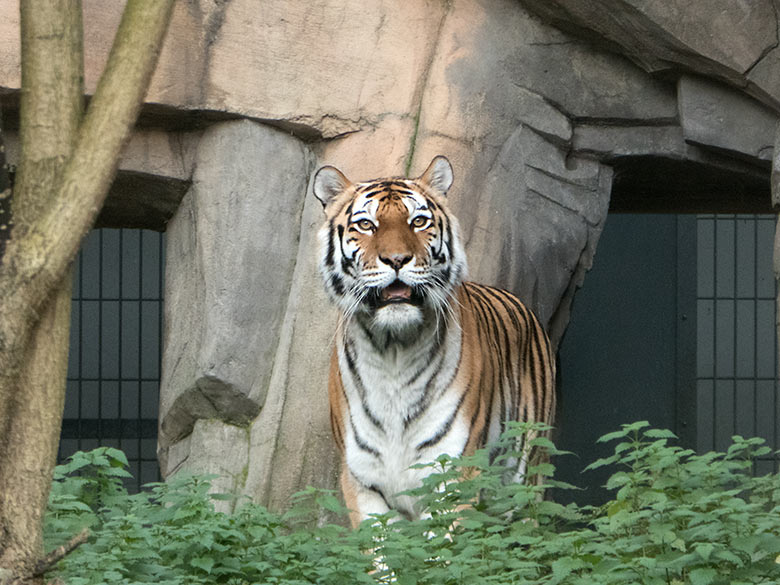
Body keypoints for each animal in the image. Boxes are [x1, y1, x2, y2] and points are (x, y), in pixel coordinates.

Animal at [310, 154, 556, 524]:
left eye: (419, 221)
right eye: (366, 225)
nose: (397, 259)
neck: (392, 351)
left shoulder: (452, 476)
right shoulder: (362, 483)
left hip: (523, 483)